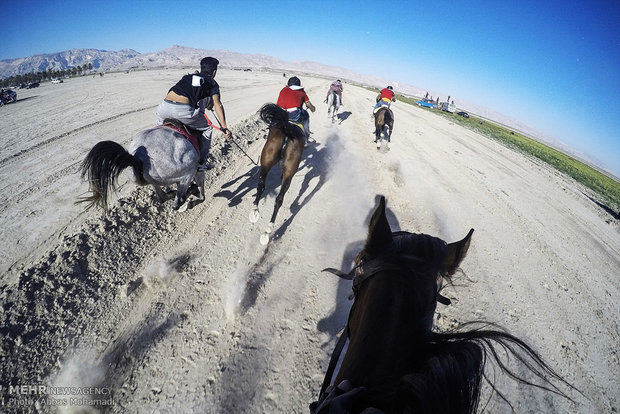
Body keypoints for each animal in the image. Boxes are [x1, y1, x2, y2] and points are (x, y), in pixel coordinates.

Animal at [249, 103, 308, 244]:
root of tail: (287, 130)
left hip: (267, 162)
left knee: (262, 187)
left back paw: (257, 215)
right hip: (286, 170)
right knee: (277, 197)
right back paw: (267, 227)